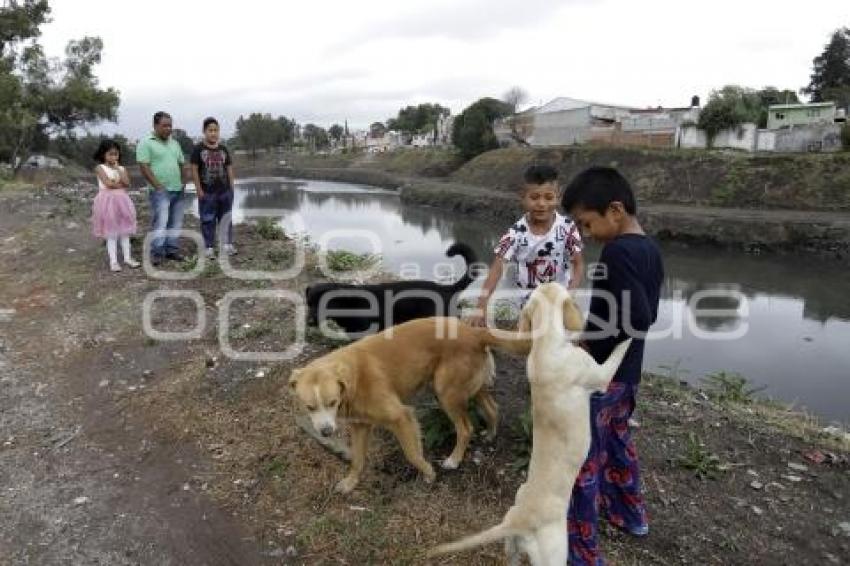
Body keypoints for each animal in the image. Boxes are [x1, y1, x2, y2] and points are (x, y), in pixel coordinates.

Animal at [292, 318, 528, 494]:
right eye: (309, 407)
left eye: (331, 402)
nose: (325, 432)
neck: (353, 379)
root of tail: (473, 331)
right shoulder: (359, 426)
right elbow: (357, 460)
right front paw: (350, 483)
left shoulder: (401, 417)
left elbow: (412, 454)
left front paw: (429, 474)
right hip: (469, 388)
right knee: (492, 407)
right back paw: (491, 434)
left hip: (446, 393)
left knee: (466, 428)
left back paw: (453, 460)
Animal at [428, 284, 628, 566]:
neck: (545, 344)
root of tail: (518, 520)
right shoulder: (600, 377)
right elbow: (617, 356)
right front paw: (627, 339)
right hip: (554, 555)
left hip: (511, 547)